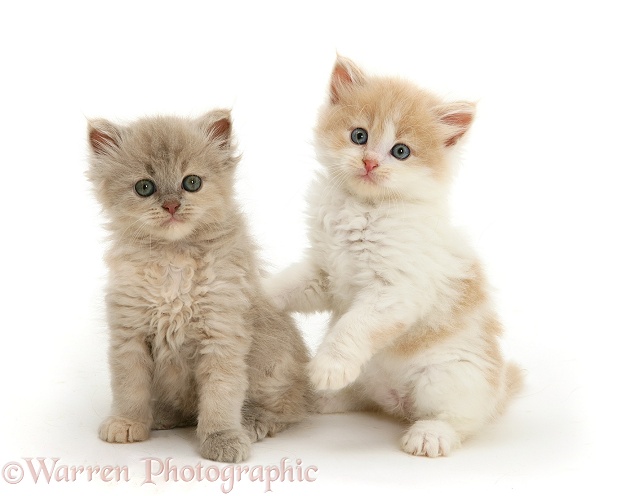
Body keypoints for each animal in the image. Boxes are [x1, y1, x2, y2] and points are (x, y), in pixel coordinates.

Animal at [85, 110, 312, 464]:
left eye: (191, 183)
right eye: (144, 187)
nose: (171, 206)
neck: (173, 259)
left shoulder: (222, 333)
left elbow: (221, 395)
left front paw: (222, 438)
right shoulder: (129, 333)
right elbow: (129, 386)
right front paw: (128, 422)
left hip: (274, 367)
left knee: (290, 407)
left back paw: (253, 421)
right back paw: (161, 415)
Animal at [264, 57, 520, 458]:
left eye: (401, 151)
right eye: (359, 136)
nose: (369, 163)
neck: (363, 209)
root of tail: (396, 400)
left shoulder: (395, 290)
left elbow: (351, 327)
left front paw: (329, 366)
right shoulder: (324, 271)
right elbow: (287, 285)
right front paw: (254, 294)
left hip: (454, 376)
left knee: (461, 419)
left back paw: (429, 434)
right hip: (373, 380)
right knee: (361, 396)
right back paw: (319, 396)